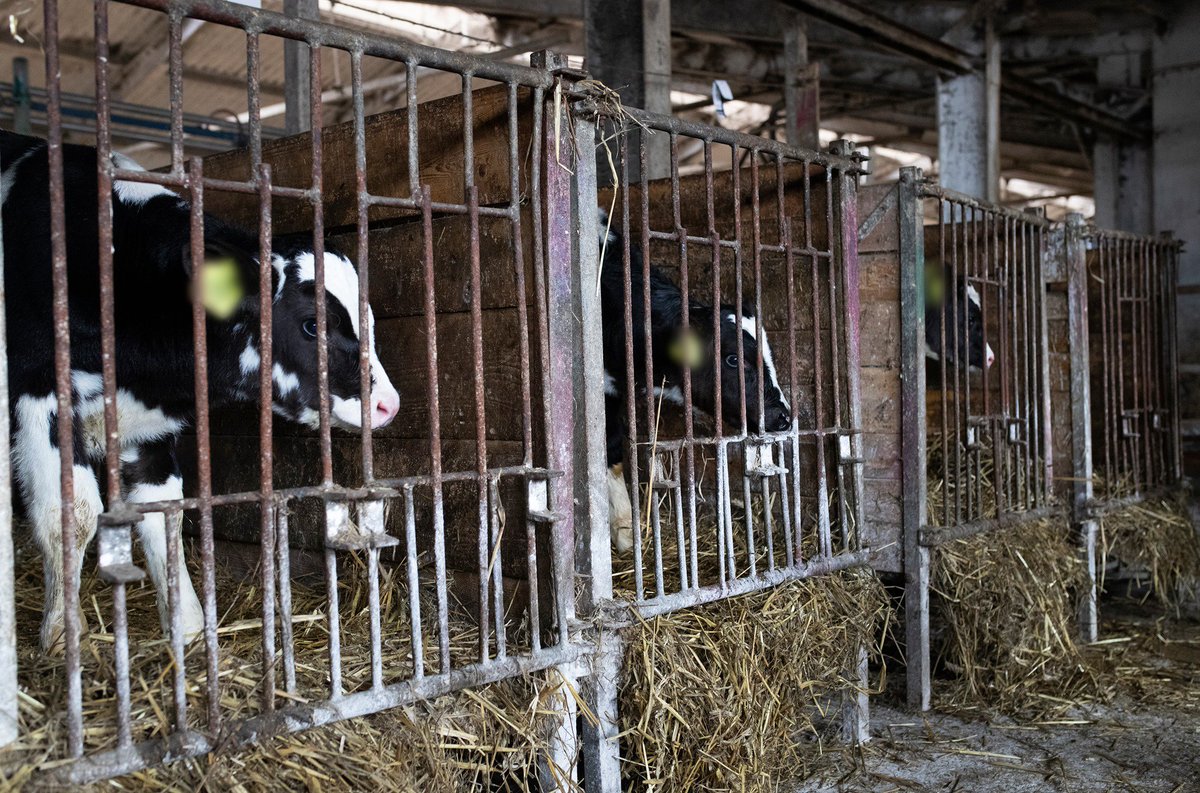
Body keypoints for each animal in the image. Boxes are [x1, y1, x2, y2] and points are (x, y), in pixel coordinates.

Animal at [0, 130, 403, 647]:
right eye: (313, 325)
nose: (388, 405)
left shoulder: (149, 428)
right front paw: (61, 634)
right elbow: (69, 516)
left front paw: (189, 628)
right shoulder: (38, 396)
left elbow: (165, 512)